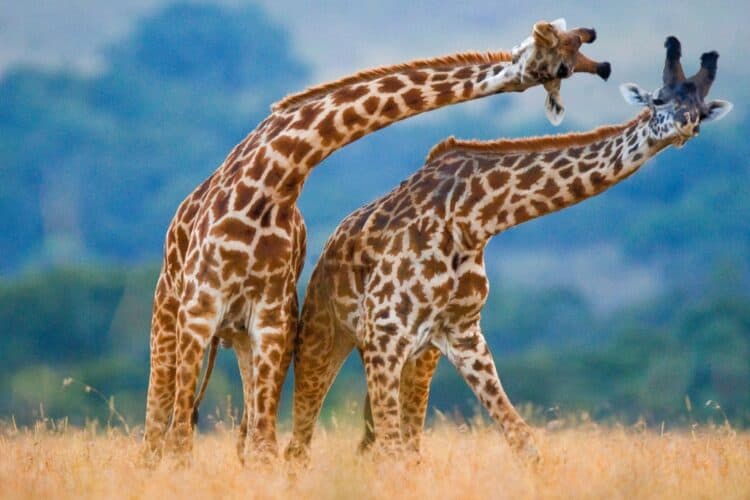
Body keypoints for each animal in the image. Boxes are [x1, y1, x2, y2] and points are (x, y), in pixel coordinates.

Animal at [140, 18, 611, 465]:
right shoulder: (200, 308)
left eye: (580, 52)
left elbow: (261, 445)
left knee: (240, 434)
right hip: (170, 316)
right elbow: (180, 440)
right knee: (157, 430)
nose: (604, 67)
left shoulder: (272, 320)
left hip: (240, 336)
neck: (274, 181)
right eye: (564, 61)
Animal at [285, 36, 732, 462]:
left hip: (418, 356)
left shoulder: (462, 334)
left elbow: (523, 442)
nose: (685, 127)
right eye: (658, 100)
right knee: (302, 443)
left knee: (386, 443)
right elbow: (393, 452)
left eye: (700, 111)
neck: (473, 219)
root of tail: (328, 247)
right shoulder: (384, 333)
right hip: (326, 335)